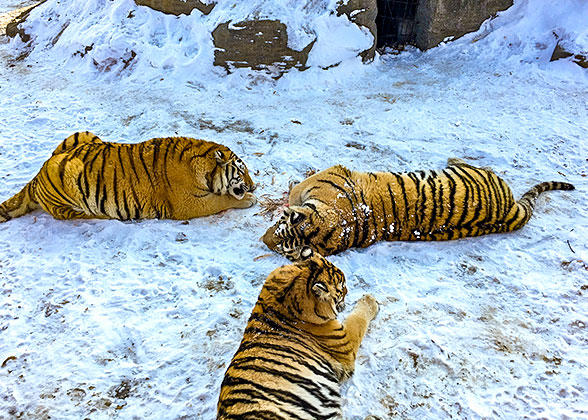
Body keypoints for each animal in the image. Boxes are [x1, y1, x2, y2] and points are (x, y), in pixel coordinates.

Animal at [0, 131, 258, 223]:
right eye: (241, 171)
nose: (254, 187)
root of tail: (38, 174)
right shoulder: (189, 203)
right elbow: (221, 200)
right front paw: (248, 200)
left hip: (81, 136)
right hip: (70, 175)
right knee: (78, 214)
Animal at [262, 159, 576, 260]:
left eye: (280, 232)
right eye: (282, 248)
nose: (262, 241)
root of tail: (509, 212)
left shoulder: (328, 174)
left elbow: (298, 188)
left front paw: (287, 193)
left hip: (481, 173)